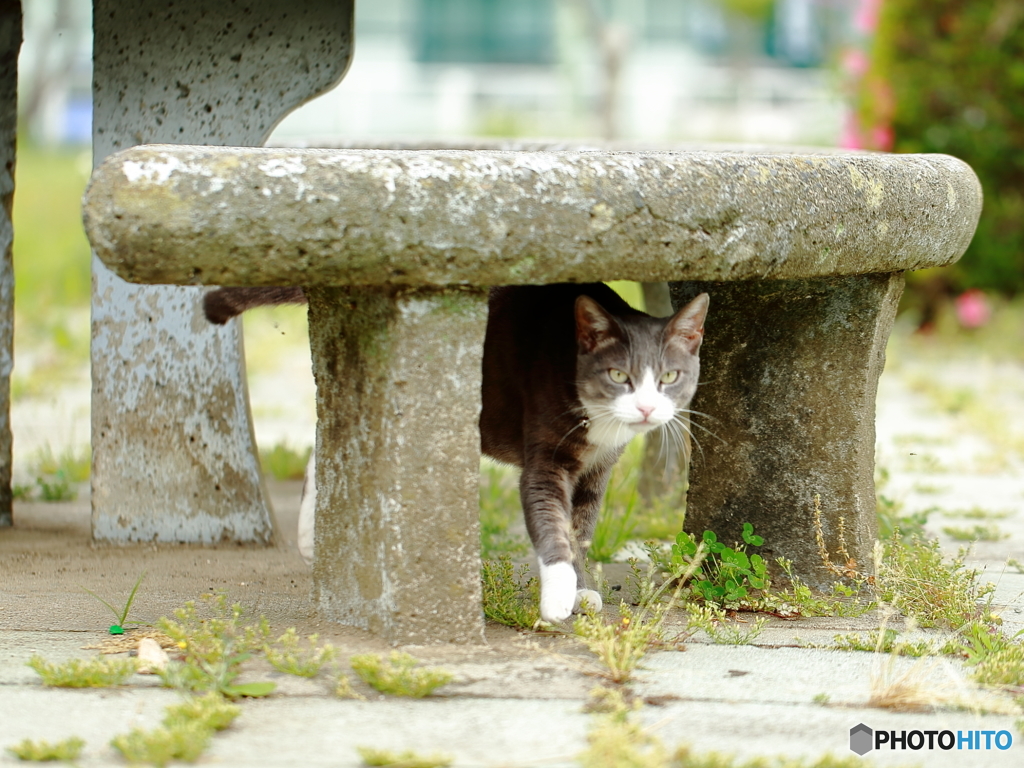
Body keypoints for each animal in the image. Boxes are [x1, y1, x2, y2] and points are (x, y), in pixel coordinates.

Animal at [203, 282, 708, 626]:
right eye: (619, 375)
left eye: (669, 377)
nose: (646, 408)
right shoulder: (545, 461)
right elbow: (552, 525)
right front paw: (558, 597)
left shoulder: (598, 470)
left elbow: (580, 529)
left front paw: (582, 589)